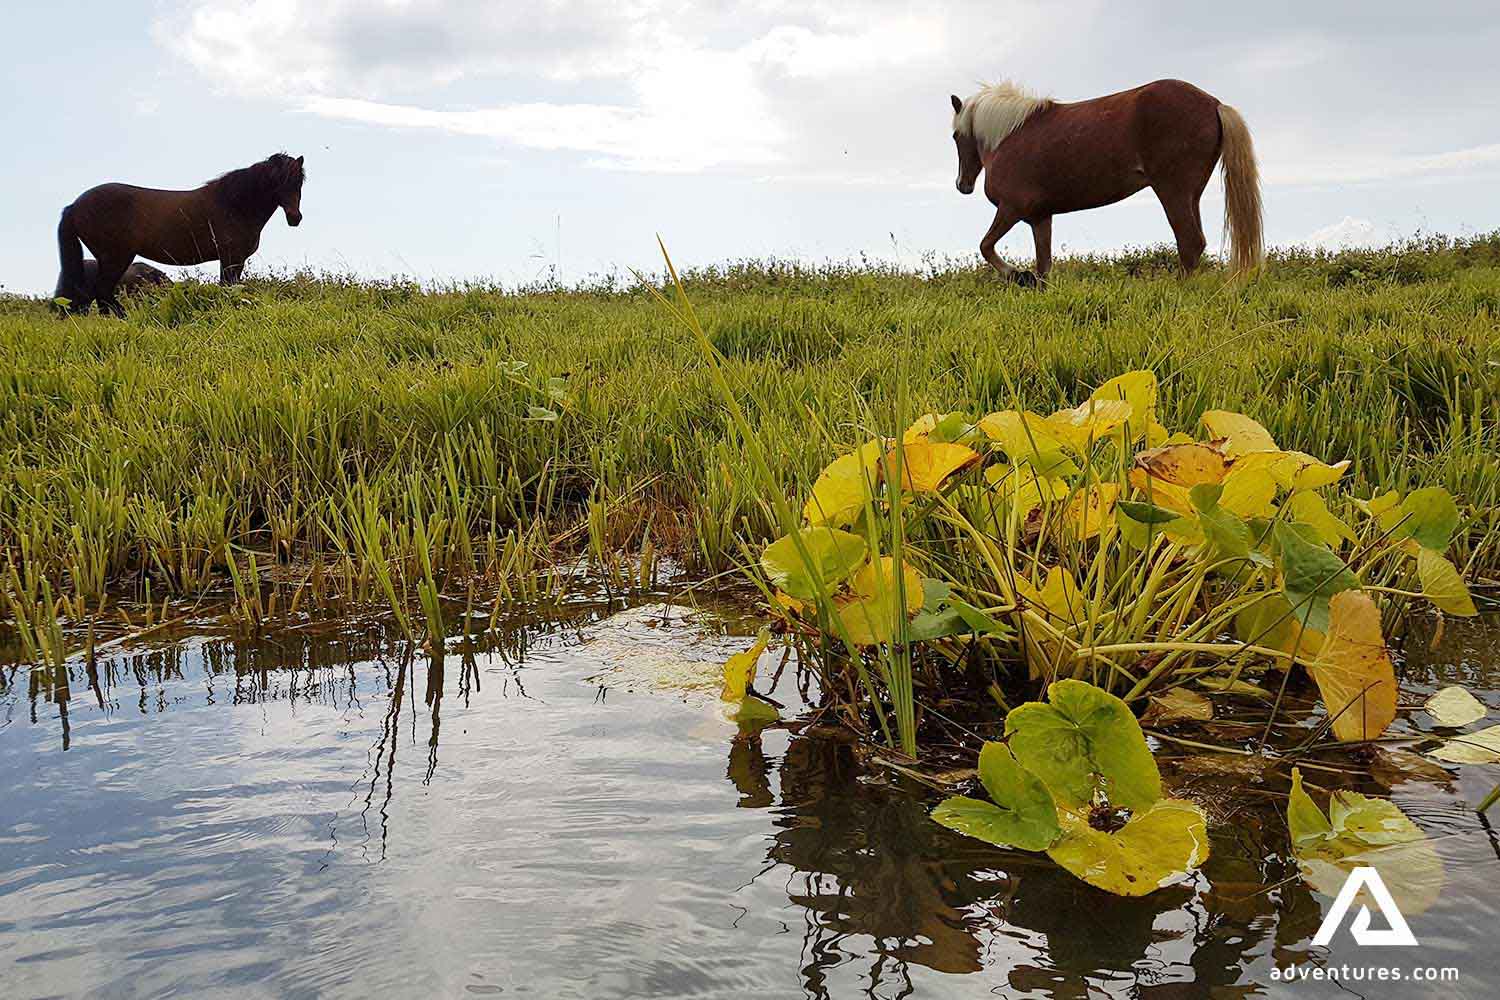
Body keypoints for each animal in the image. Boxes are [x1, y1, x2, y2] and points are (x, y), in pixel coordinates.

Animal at [56, 153, 305, 316]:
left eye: (299, 183)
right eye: (281, 182)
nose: (295, 218)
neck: (234, 204)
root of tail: (74, 207)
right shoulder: (231, 258)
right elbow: (228, 288)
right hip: (115, 258)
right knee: (103, 294)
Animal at [949, 80, 1262, 285]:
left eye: (955, 136)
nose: (962, 184)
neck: (1009, 136)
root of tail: (1214, 104)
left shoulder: (1011, 208)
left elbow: (986, 246)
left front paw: (1016, 274)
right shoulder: (1040, 218)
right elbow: (1044, 265)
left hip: (1172, 191)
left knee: (1189, 243)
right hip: (1190, 195)